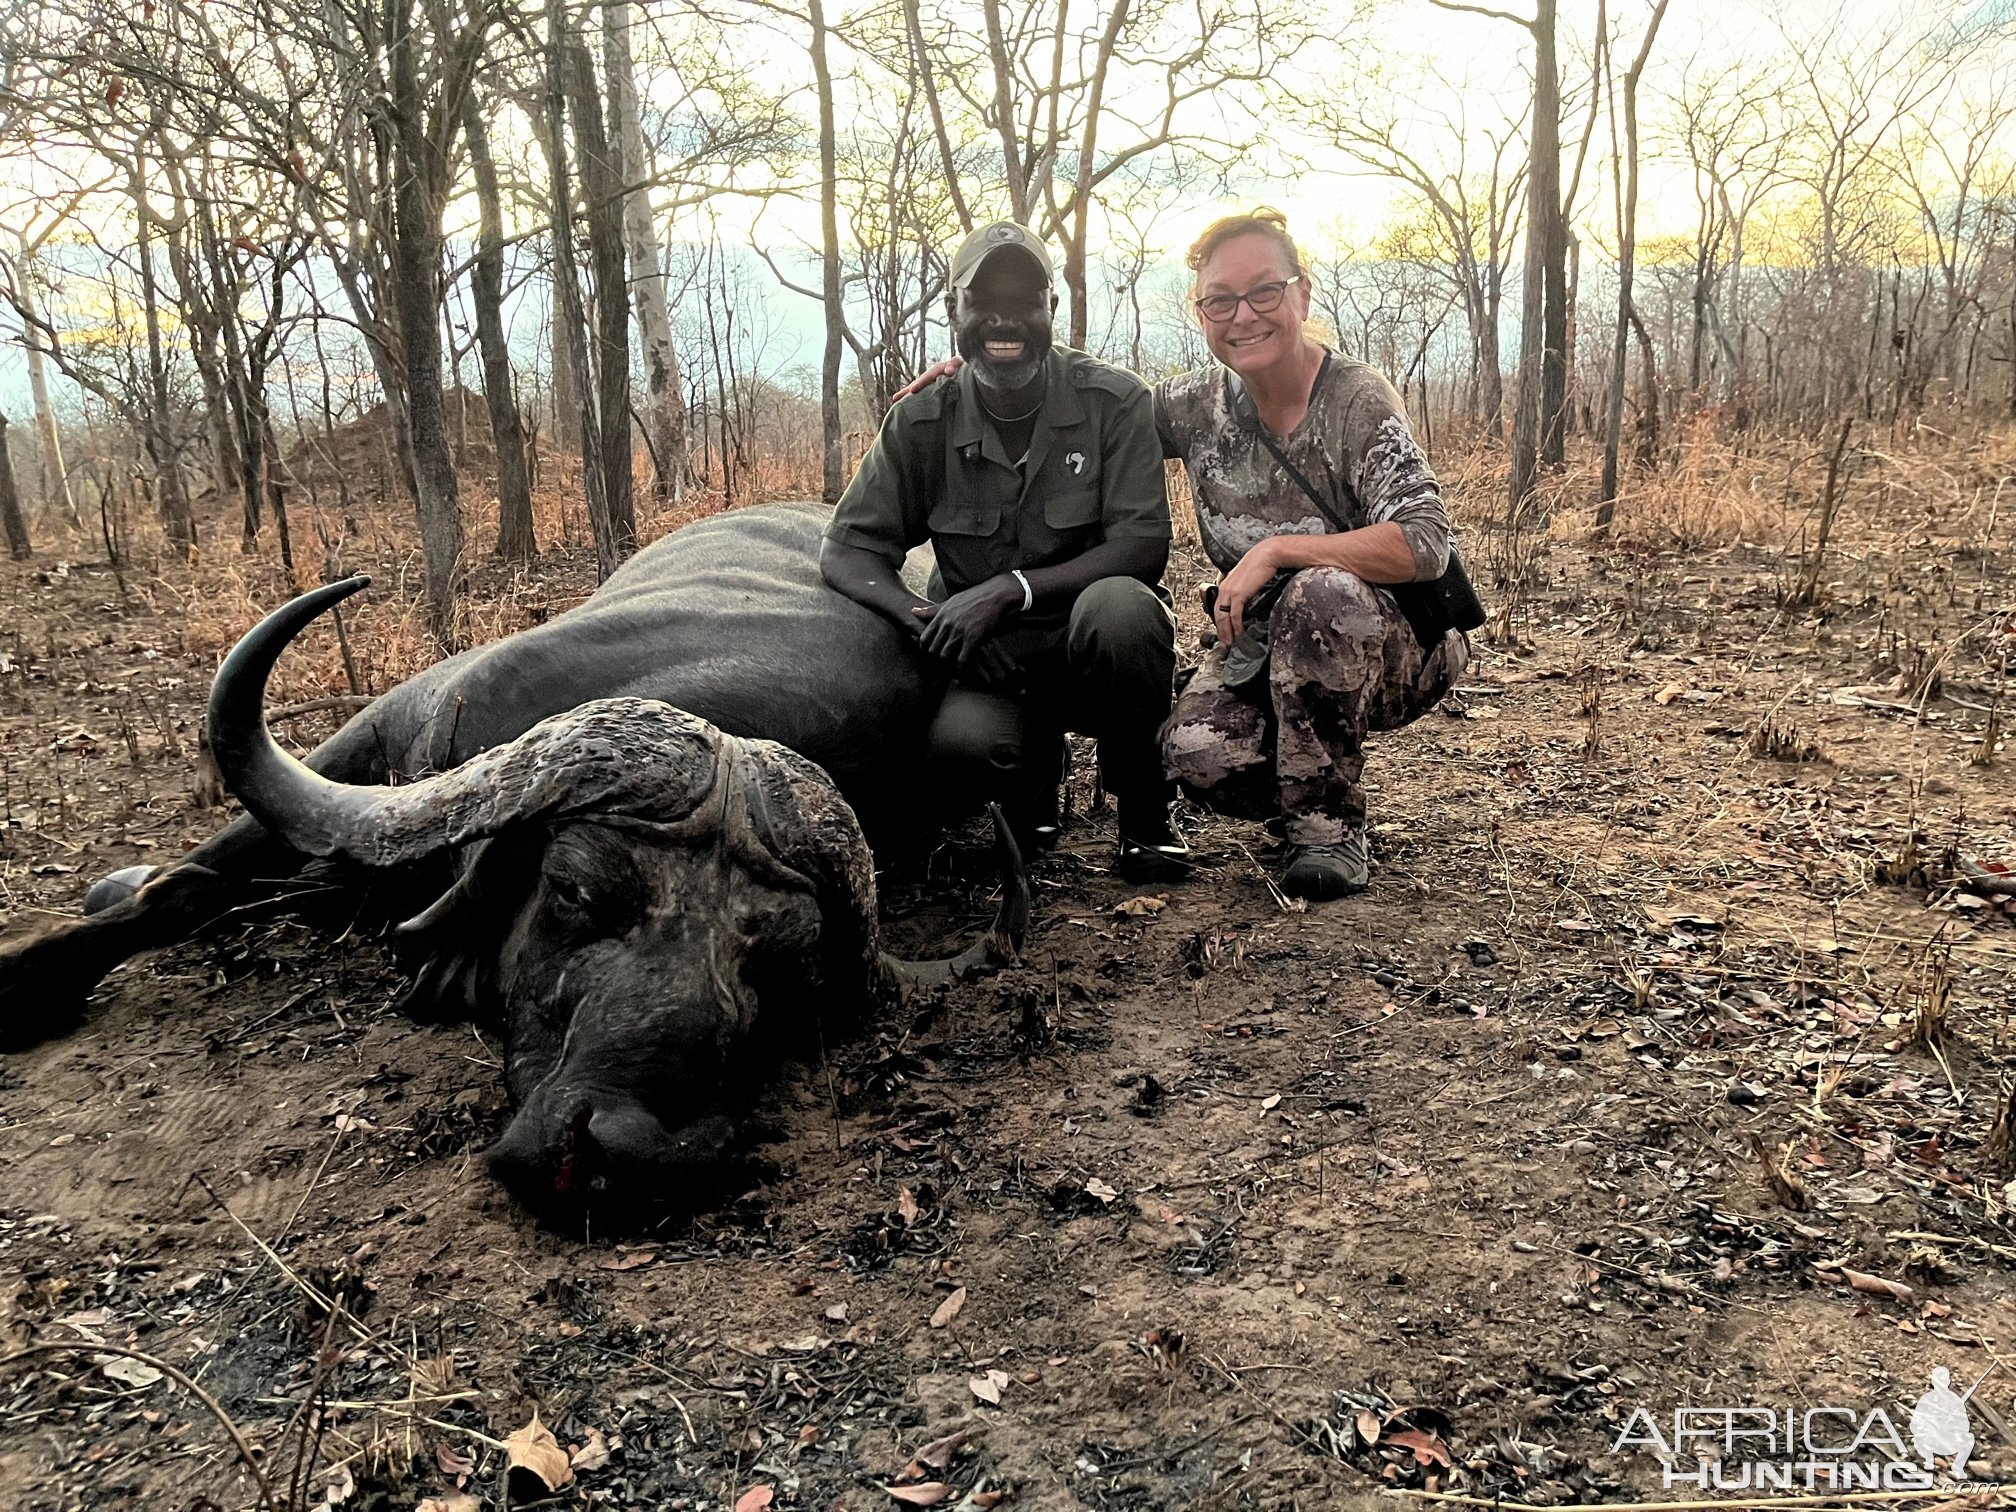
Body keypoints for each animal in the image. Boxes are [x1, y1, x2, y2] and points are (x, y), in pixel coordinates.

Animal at [3, 504, 1024, 1217]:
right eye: (572, 890)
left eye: (786, 964)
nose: (626, 1148)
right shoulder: (379, 730)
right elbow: (189, 886)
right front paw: (36, 978)